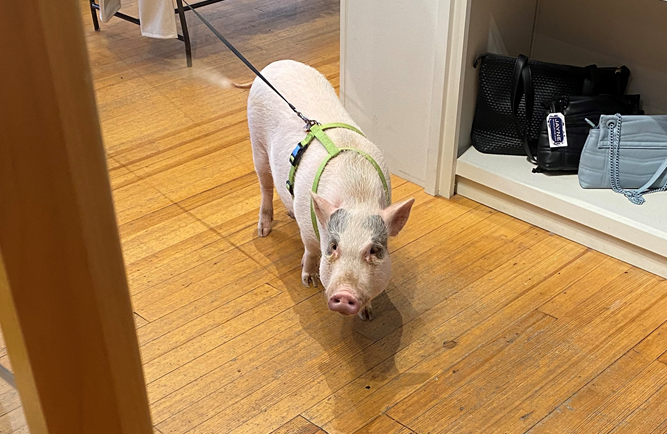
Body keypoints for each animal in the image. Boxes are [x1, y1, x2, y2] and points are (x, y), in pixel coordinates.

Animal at [243, 60, 414, 320]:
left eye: (375, 250)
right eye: (333, 247)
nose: (345, 295)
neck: (357, 195)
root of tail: (275, 64)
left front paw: (367, 316)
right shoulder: (308, 228)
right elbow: (311, 249)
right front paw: (309, 281)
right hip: (256, 141)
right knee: (265, 185)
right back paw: (264, 230)